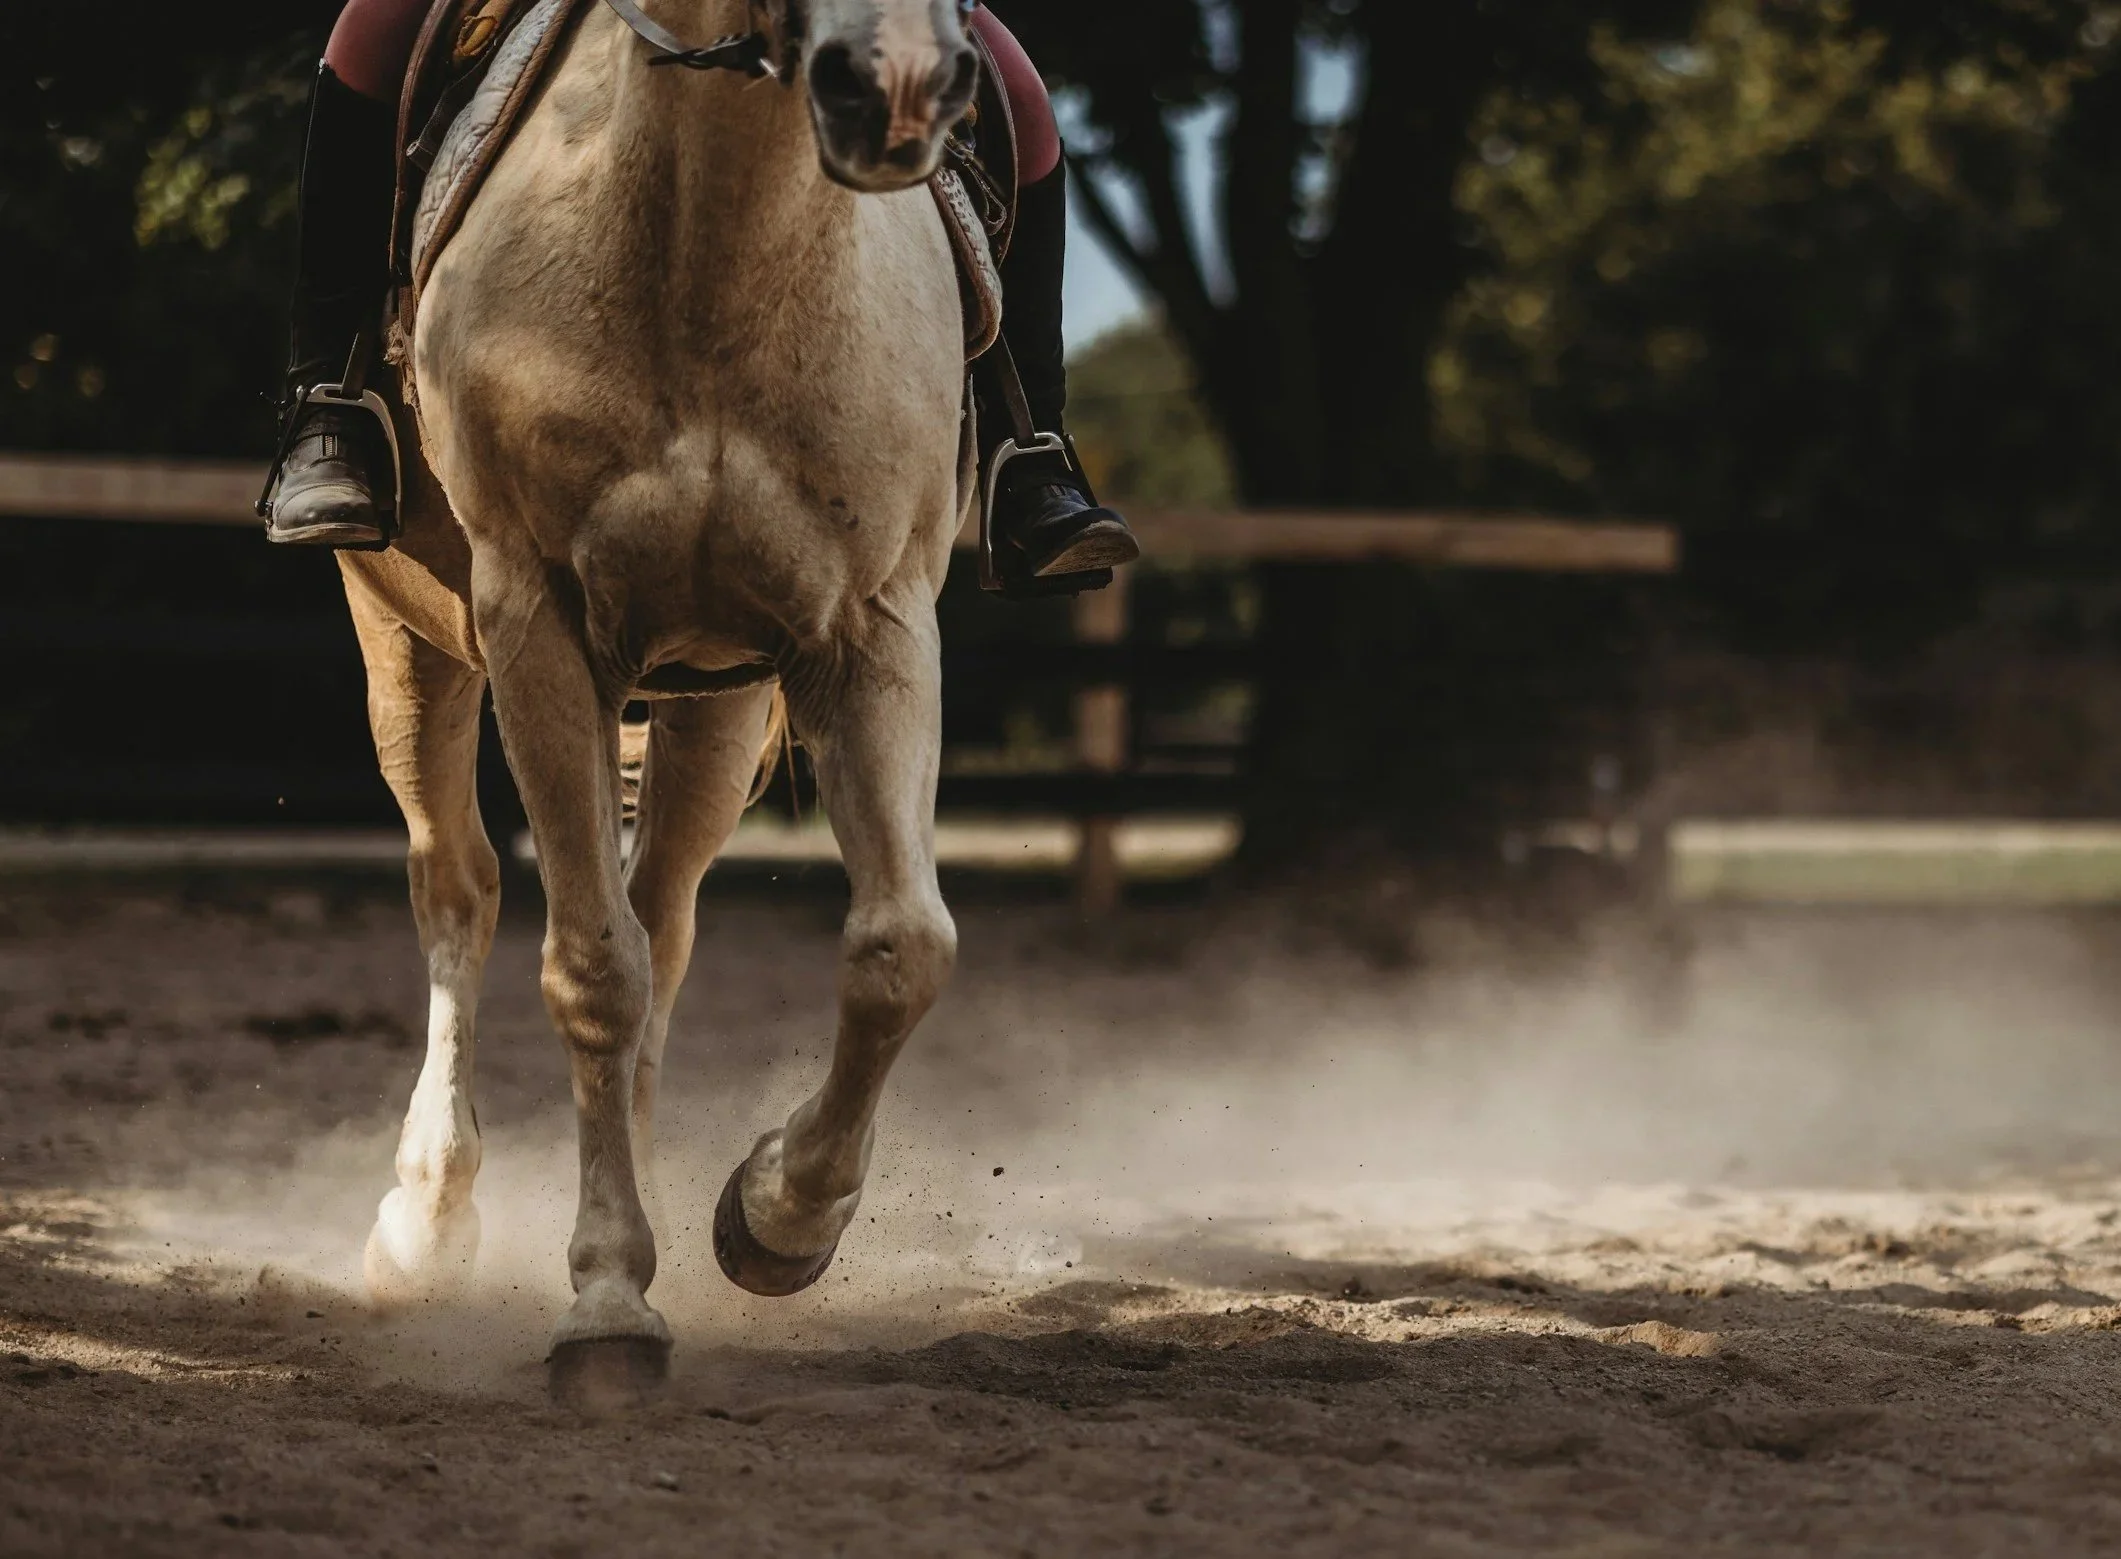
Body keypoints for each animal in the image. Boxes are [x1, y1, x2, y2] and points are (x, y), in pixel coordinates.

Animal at [336, 0, 977, 1381]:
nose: (895, 85)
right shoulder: (534, 625)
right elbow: (590, 968)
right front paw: (607, 1299)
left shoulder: (875, 625)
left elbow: (900, 947)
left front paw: (777, 1216)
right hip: (405, 637)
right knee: (459, 888)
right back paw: (423, 1221)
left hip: (715, 703)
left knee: (663, 918)